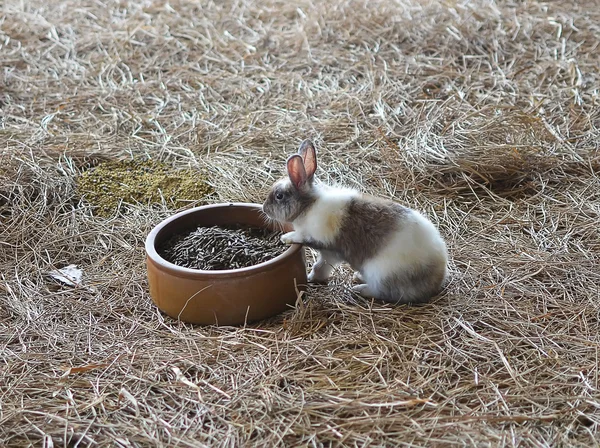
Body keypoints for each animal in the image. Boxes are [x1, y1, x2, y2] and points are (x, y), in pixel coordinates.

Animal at [262, 140, 450, 304]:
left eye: (279, 196)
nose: (264, 209)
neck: (308, 206)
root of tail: (436, 277)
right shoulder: (329, 254)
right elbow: (321, 267)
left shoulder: (324, 244)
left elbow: (309, 251)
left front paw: (287, 239)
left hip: (381, 274)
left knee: (385, 292)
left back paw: (359, 288)